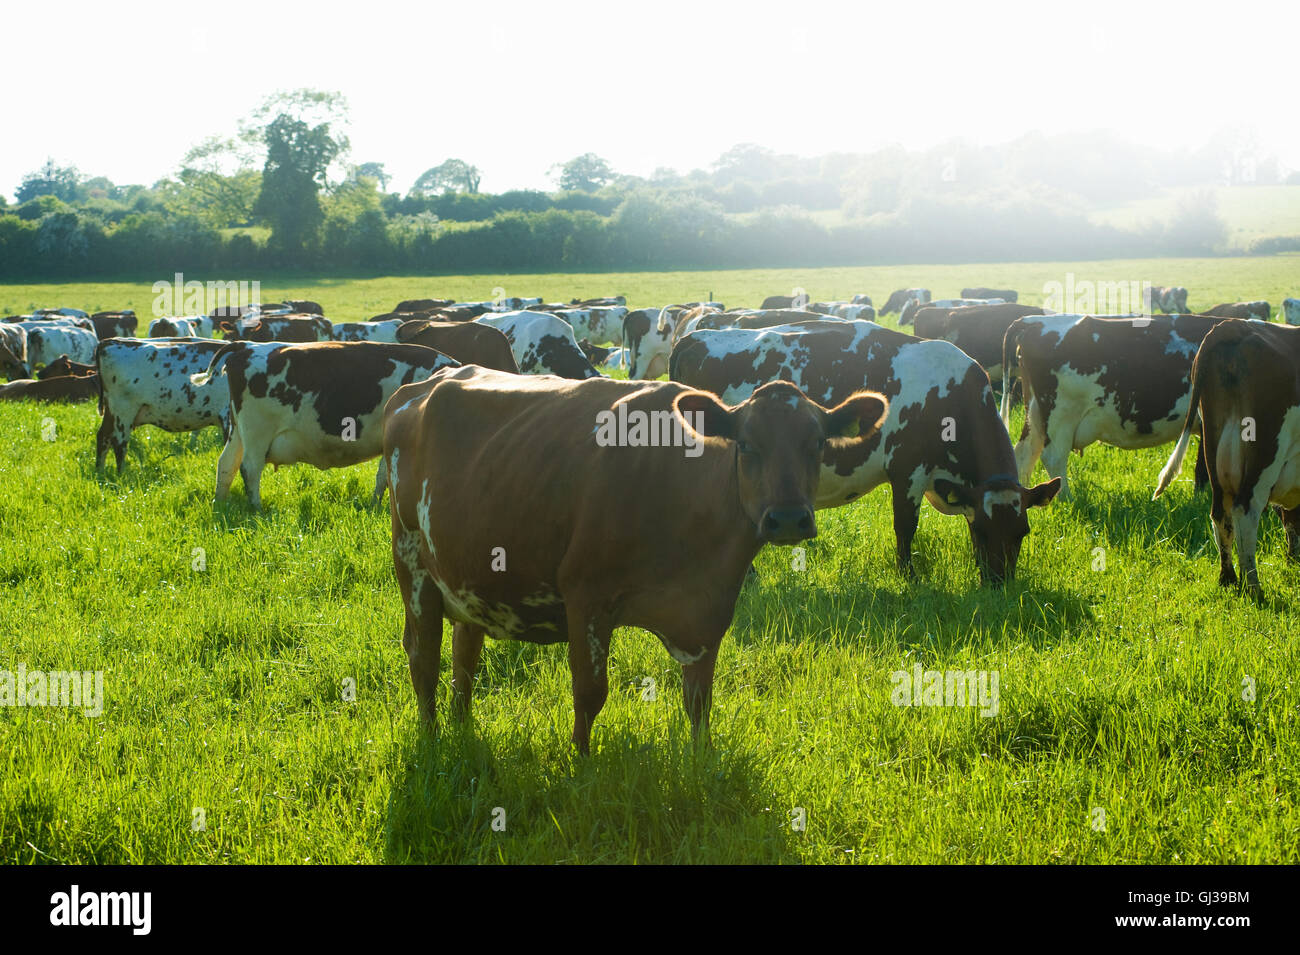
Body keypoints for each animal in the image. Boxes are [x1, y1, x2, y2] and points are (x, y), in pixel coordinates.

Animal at [202, 340, 462, 511]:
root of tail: (245, 347)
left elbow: (383, 476)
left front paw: (375, 504)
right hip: (257, 432)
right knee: (250, 468)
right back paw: (257, 509)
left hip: (237, 432)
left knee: (226, 465)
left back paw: (220, 504)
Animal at [379, 361, 883, 748]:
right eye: (746, 444)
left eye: (817, 443)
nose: (789, 518)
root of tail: (426, 383)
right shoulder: (585, 594)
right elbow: (589, 692)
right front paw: (580, 763)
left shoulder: (708, 615)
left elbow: (699, 702)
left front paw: (702, 762)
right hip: (412, 563)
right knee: (423, 656)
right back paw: (433, 740)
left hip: (467, 574)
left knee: (465, 655)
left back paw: (463, 729)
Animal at [670, 320, 1055, 587]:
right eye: (984, 532)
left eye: (1022, 533)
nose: (998, 584)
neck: (951, 396)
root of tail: (695, 338)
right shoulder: (908, 470)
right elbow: (905, 527)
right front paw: (908, 576)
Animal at [998, 317, 1232, 501]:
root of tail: (1032, 322)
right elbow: (1206, 468)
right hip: (1060, 416)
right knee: (1053, 457)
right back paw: (1067, 499)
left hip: (1035, 415)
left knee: (1025, 454)